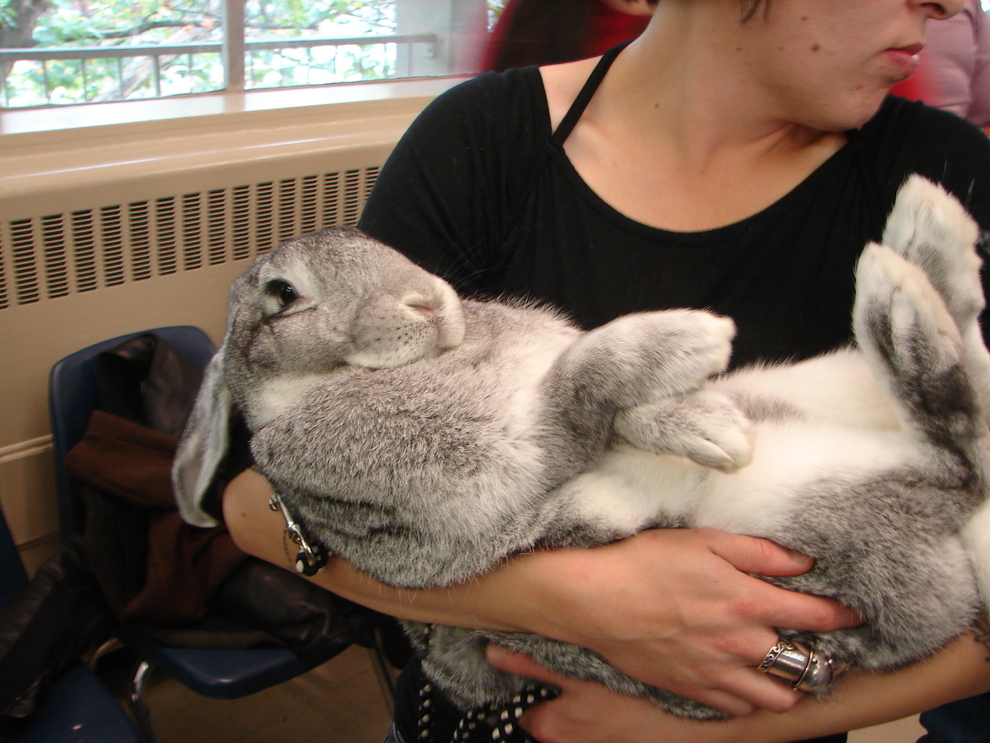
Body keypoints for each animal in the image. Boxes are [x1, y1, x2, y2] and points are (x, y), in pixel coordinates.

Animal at [174, 176, 990, 720]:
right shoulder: (479, 471)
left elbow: (615, 408)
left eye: (377, 245)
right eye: (284, 296)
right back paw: (898, 279)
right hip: (822, 501)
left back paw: (925, 232)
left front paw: (704, 422)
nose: (430, 301)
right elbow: (576, 386)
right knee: (958, 444)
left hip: (822, 395)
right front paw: (688, 342)